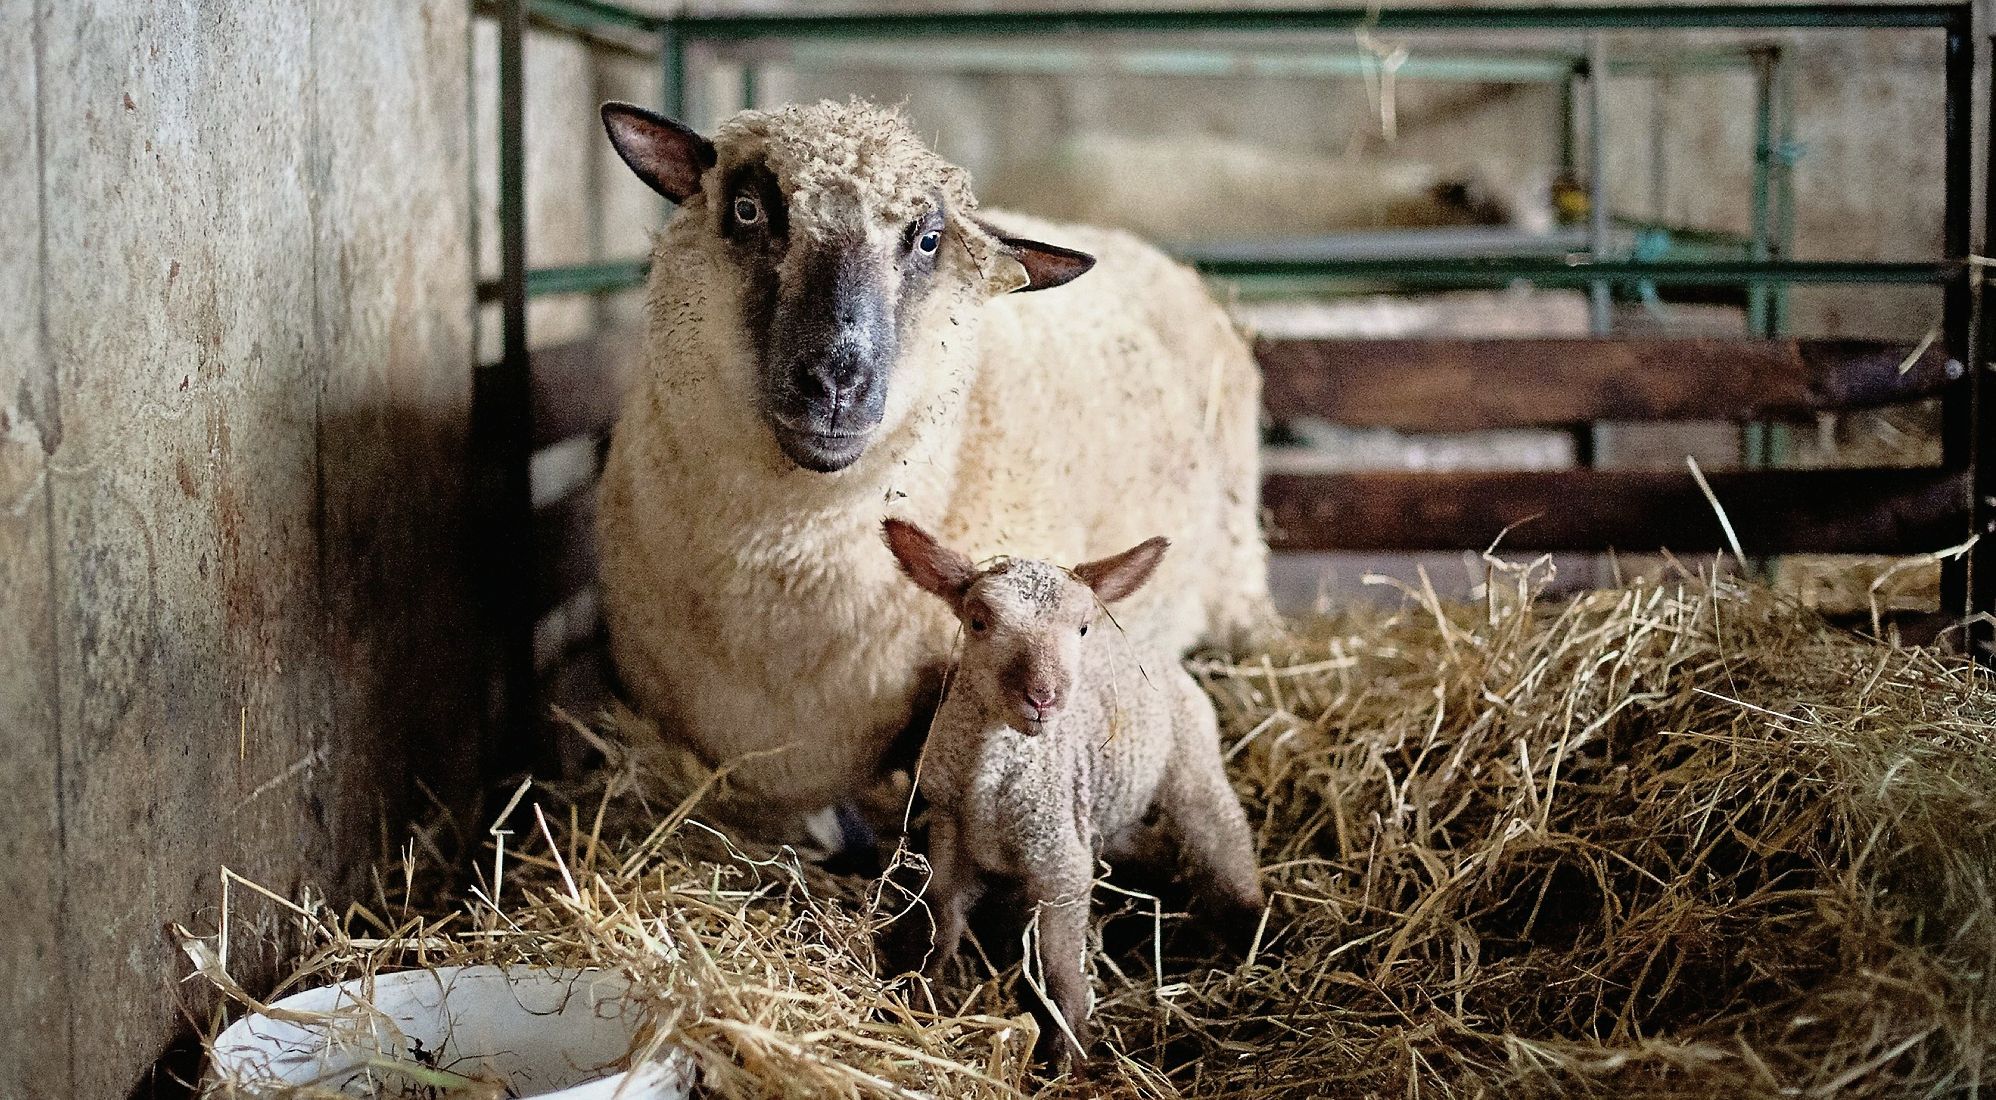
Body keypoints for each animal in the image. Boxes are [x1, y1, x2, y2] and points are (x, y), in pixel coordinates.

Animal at [878, 519, 1253, 1070]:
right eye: (978, 621)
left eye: (1082, 628)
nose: (1043, 696)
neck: (989, 787)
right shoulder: (950, 835)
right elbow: (939, 923)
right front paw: (913, 992)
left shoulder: (1058, 860)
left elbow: (1058, 967)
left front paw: (1069, 1058)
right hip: (1104, 819)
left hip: (1192, 762)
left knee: (1224, 838)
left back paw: (1252, 930)